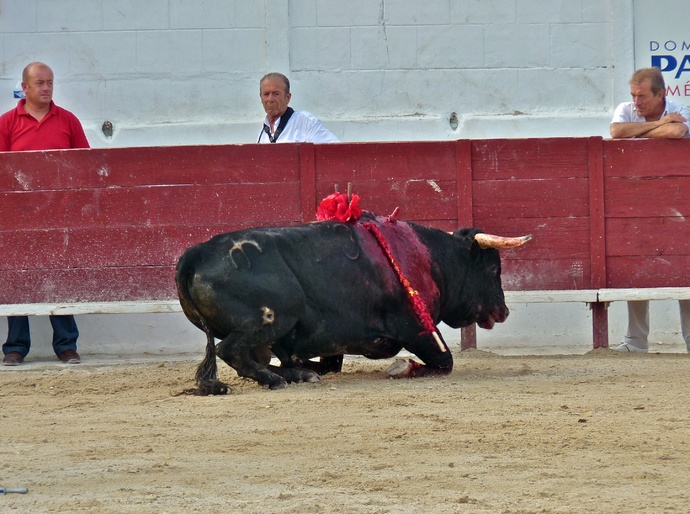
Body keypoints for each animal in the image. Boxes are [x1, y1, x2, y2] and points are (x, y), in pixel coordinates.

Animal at [175, 211, 530, 394]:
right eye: (493, 269)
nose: (504, 310)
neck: (430, 258)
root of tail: (198, 253)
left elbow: (328, 362)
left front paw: (305, 367)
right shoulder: (417, 330)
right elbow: (444, 362)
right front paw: (401, 367)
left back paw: (297, 374)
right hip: (274, 317)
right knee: (230, 351)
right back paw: (276, 380)